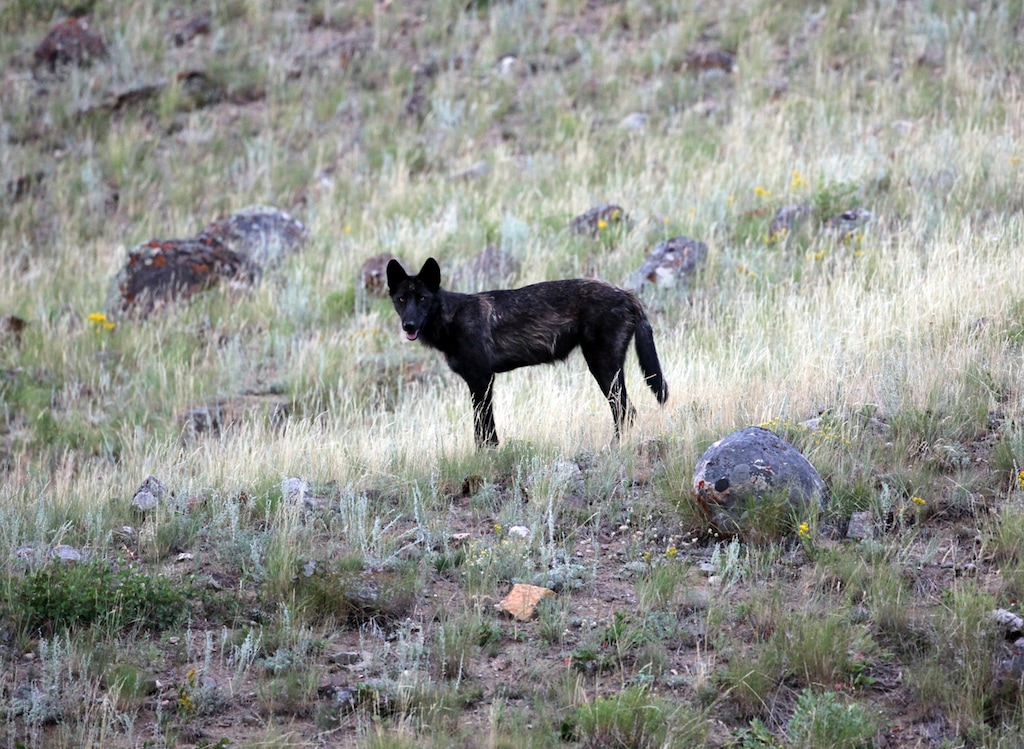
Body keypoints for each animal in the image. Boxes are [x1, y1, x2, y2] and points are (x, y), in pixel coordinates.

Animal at [386, 257, 668, 448]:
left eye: (422, 299)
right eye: (401, 300)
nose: (409, 325)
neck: (452, 319)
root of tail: (628, 295)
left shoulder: (482, 379)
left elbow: (483, 427)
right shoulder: (478, 381)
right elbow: (482, 427)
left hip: (601, 366)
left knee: (625, 411)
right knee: (627, 411)